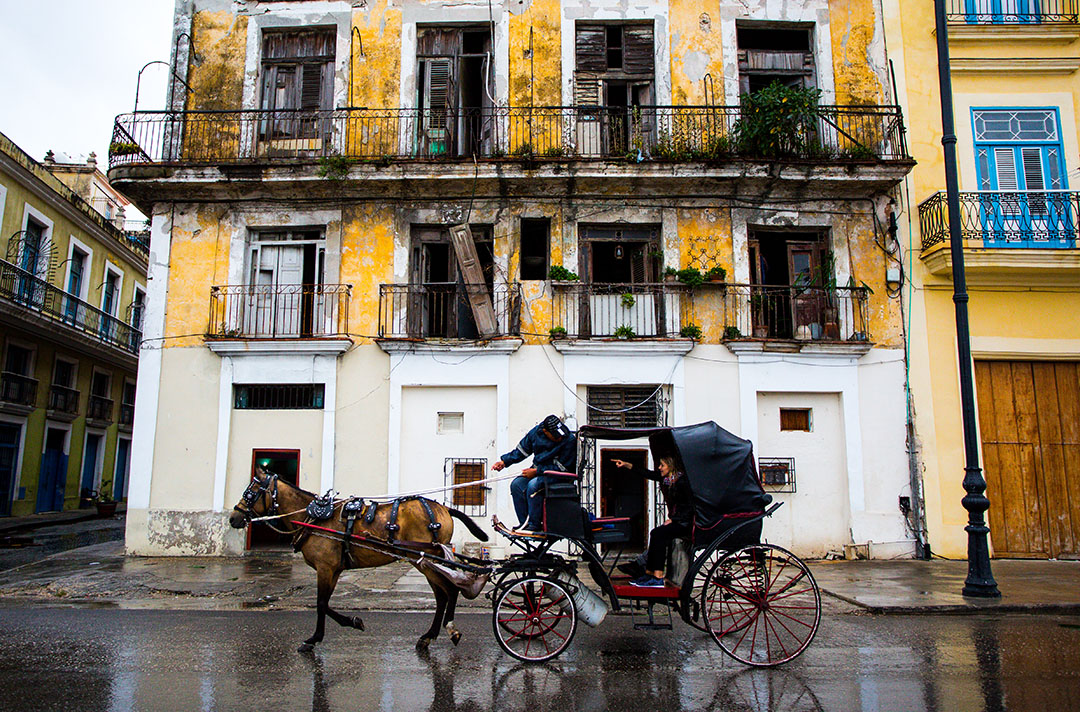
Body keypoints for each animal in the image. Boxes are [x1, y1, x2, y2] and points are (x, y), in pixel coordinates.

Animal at [234, 464, 492, 652]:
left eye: (250, 492)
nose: (233, 518)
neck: (315, 518)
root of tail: (444, 509)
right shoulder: (334, 569)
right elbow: (325, 603)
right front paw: (351, 623)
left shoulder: (325, 568)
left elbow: (320, 603)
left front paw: (315, 638)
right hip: (425, 560)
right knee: (442, 595)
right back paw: (429, 636)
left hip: (425, 559)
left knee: (450, 591)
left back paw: (450, 630)